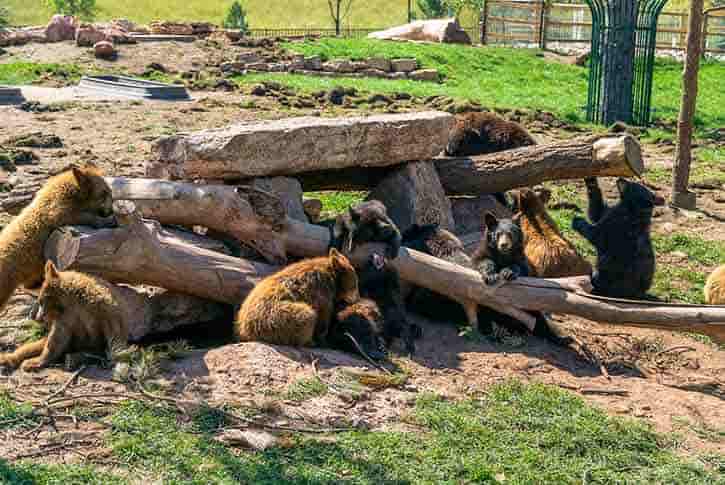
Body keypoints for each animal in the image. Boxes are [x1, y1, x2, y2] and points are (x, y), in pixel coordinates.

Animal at [0, 163, 115, 313]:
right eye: (104, 193)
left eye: (108, 192)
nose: (111, 210)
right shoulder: (55, 211)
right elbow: (69, 215)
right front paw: (108, 221)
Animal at [0, 262, 129, 372]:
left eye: (41, 301)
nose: (37, 317)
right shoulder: (66, 319)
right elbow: (55, 340)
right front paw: (35, 362)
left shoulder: (101, 313)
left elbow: (113, 338)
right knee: (31, 347)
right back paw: (8, 359)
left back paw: (73, 358)